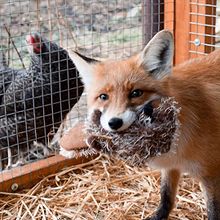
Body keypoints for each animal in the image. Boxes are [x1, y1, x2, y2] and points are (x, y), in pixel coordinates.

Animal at [69, 31, 220, 220]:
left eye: (136, 93)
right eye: (103, 97)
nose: (114, 122)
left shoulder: (211, 173)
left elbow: (213, 211)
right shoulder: (171, 164)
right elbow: (166, 197)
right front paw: (159, 216)